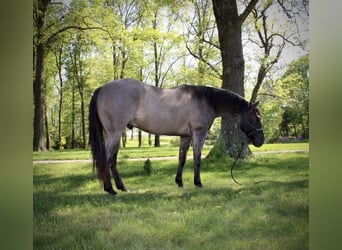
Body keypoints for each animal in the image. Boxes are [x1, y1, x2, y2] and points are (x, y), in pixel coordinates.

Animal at [89, 78, 264, 195]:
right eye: (257, 118)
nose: (261, 141)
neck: (206, 100)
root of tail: (102, 88)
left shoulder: (185, 136)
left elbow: (182, 159)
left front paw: (180, 182)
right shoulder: (199, 134)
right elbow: (197, 158)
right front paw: (198, 183)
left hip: (116, 135)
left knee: (112, 161)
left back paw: (121, 187)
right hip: (114, 133)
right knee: (106, 159)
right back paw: (110, 189)